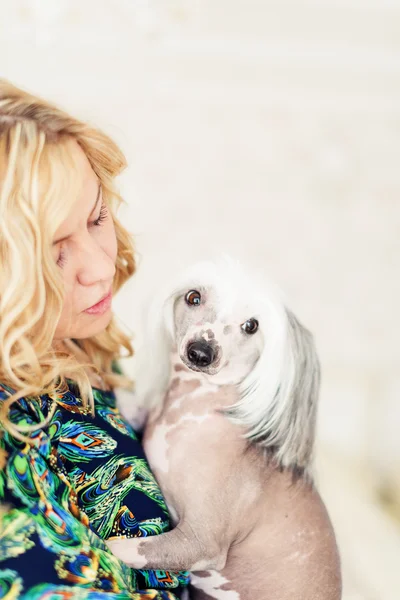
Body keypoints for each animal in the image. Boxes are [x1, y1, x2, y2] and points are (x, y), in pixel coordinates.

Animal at [108, 255, 328, 596]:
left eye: (251, 325)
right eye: (193, 297)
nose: (202, 351)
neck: (191, 407)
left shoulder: (200, 542)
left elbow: (126, 548)